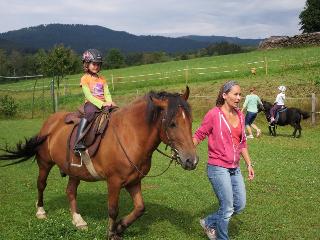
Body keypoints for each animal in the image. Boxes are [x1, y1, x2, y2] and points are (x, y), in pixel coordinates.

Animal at [0, 87, 199, 239]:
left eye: (189, 121)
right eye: (172, 124)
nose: (192, 160)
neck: (130, 136)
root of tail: (49, 123)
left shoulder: (134, 181)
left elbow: (140, 208)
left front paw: (119, 228)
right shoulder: (114, 181)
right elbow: (113, 209)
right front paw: (111, 232)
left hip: (74, 171)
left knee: (70, 192)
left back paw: (78, 220)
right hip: (44, 163)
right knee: (41, 184)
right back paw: (40, 211)